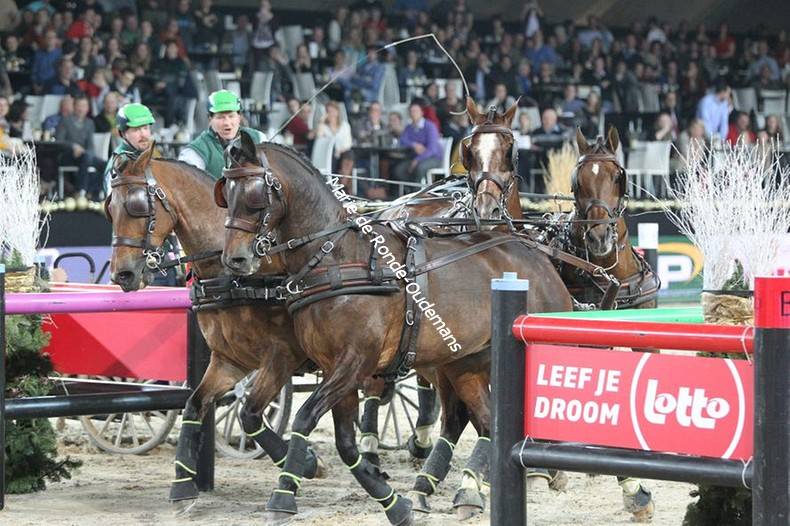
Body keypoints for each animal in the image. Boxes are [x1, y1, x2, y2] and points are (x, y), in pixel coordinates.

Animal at [216, 130, 573, 525]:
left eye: (255, 197)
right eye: (226, 194)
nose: (235, 259)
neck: (338, 258)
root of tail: (535, 254)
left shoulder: (354, 362)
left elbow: (305, 417)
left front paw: (282, 496)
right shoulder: (336, 369)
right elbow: (345, 443)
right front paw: (393, 502)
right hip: (465, 365)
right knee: (486, 423)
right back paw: (468, 490)